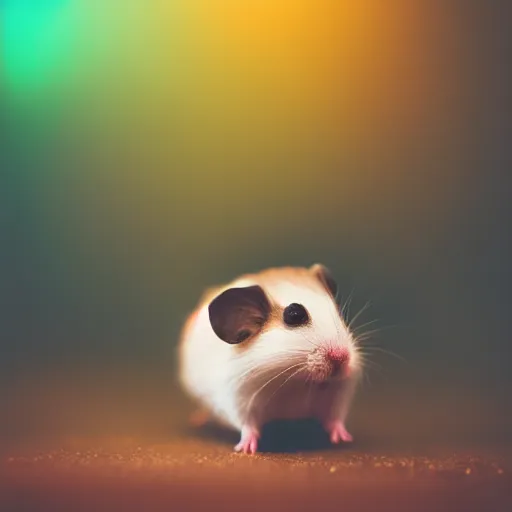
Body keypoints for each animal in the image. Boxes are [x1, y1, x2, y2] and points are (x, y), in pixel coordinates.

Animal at [178, 266, 362, 454]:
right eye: (294, 315)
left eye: (337, 312)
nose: (341, 358)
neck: (294, 382)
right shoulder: (240, 398)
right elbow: (248, 427)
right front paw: (246, 449)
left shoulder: (338, 395)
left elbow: (335, 419)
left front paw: (344, 439)